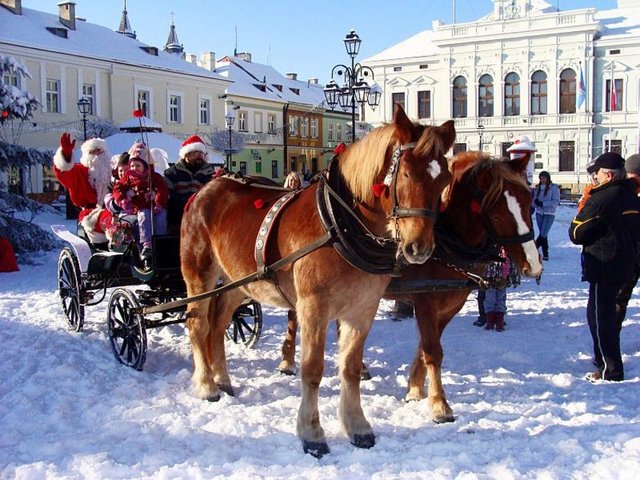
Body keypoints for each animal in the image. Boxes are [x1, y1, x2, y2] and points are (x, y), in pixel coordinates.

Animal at [180, 106, 456, 458]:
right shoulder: (313, 309)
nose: (419, 248)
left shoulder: (362, 309)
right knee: (198, 323)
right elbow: (312, 370)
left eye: (445, 179)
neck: (340, 225)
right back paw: (206, 385)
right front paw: (312, 433)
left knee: (218, 323)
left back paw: (223, 380)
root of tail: (207, 188)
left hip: (238, 281)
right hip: (199, 272)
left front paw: (357, 426)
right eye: (406, 174)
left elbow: (350, 367)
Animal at [278, 152, 544, 422]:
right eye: (499, 214)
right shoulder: (425, 299)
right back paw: (288, 361)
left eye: (528, 205)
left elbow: (425, 347)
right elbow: (433, 350)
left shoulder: (450, 305)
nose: (534, 265)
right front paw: (439, 405)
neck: (445, 238)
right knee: (295, 316)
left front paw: (415, 388)